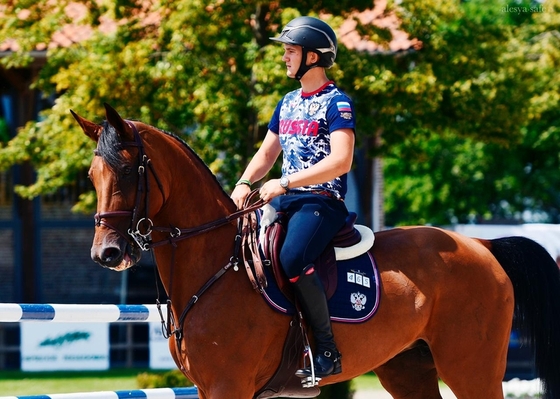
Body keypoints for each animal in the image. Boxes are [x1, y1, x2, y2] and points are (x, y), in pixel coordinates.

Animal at [72, 103, 560, 399]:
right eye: (93, 176)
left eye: (128, 172)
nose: (107, 254)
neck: (218, 267)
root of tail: (481, 246)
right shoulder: (212, 388)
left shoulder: (230, 384)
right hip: (408, 368)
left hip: (470, 367)